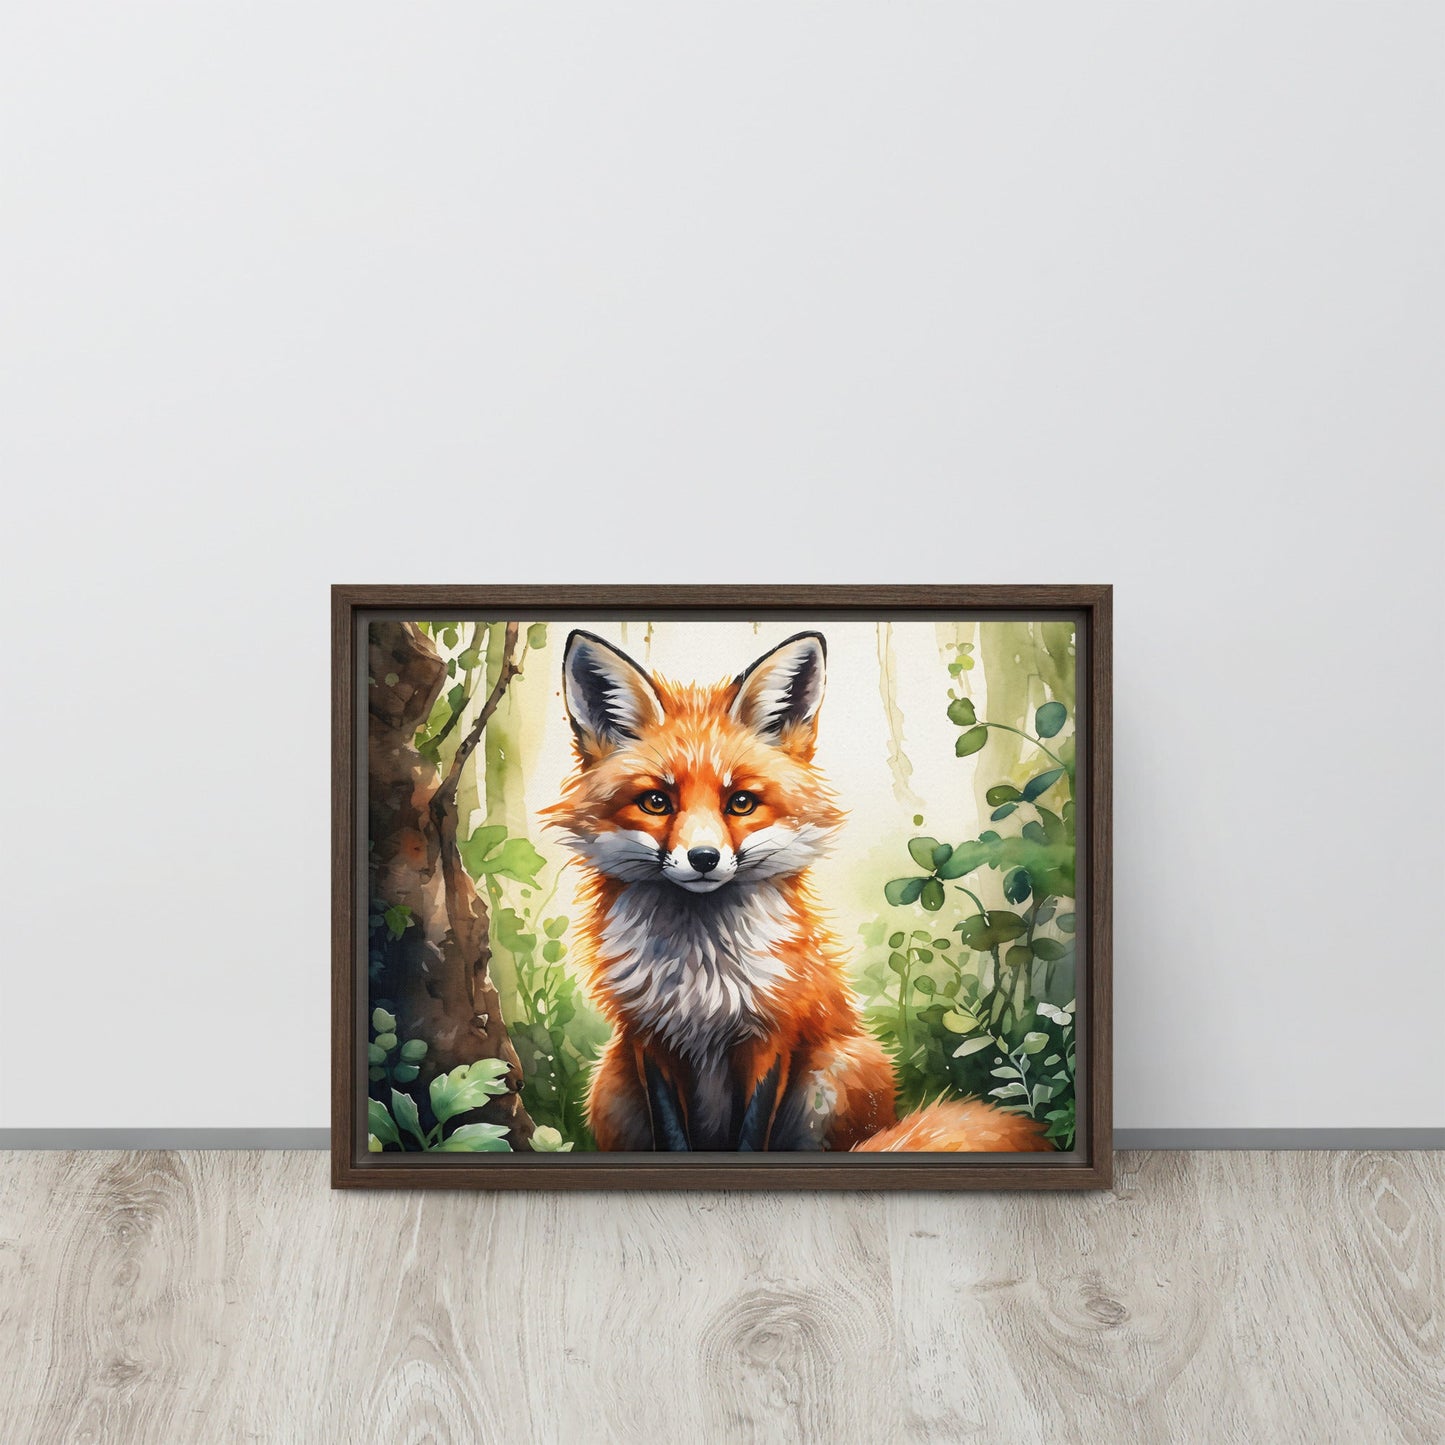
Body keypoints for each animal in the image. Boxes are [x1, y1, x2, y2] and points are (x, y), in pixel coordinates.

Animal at [543, 628, 1048, 1154]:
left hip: (837, 1072)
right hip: (610, 1081)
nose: (703, 858)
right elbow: (672, 1134)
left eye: (741, 802)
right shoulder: (649, 1039)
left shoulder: (773, 1037)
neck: (702, 978)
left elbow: (752, 1135)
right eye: (657, 802)